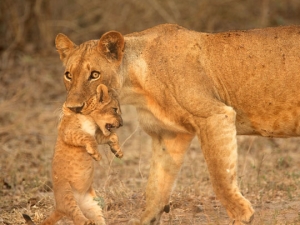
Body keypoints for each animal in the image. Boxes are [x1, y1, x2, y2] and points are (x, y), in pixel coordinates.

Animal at [54, 23, 300, 224]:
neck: (135, 87)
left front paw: (243, 216)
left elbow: (220, 177)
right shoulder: (168, 135)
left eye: (95, 75)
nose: (73, 108)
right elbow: (156, 189)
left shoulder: (215, 115)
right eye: (68, 75)